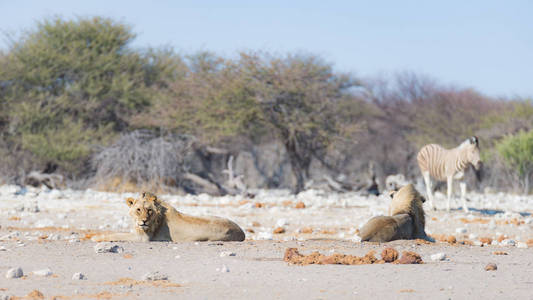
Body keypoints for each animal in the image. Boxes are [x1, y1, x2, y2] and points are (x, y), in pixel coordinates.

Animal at [91, 191, 245, 243]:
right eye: (138, 210)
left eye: (149, 210)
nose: (144, 221)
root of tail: (242, 232)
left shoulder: (144, 238)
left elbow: (116, 234)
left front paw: (95, 238)